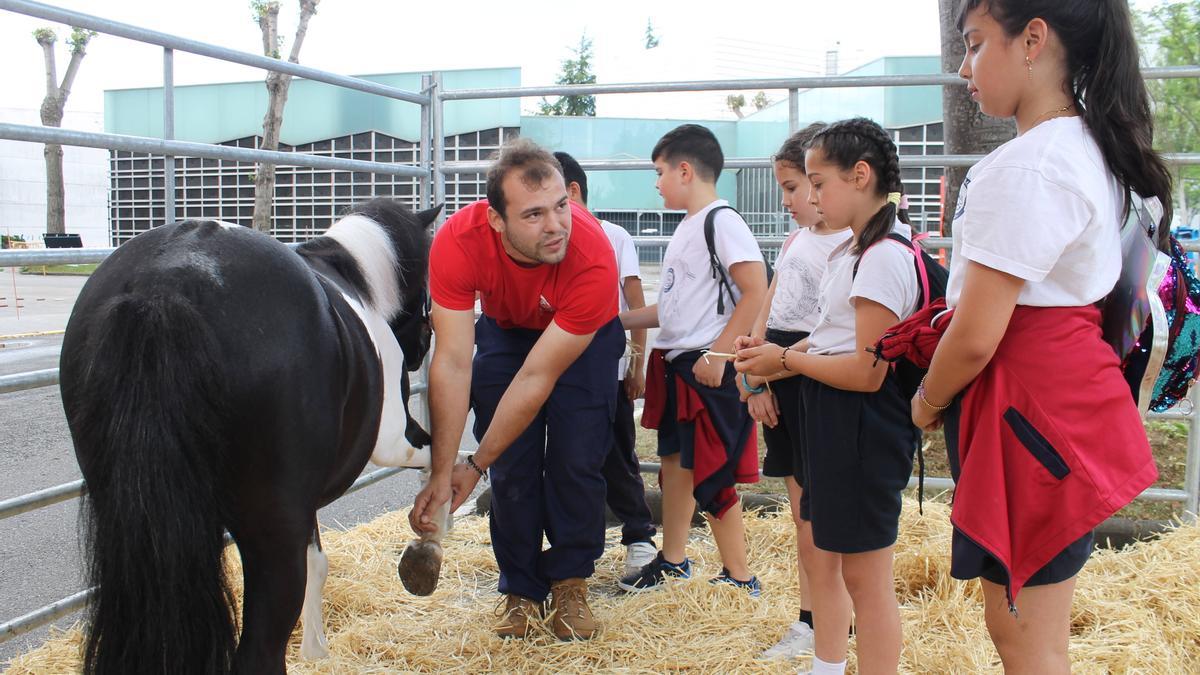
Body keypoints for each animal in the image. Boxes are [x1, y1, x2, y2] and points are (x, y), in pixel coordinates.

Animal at [60, 199, 446, 672]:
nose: (423, 344)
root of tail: (168, 282)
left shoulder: (304, 502)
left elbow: (318, 561)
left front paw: (316, 648)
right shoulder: (394, 440)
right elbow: (442, 459)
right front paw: (428, 547)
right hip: (271, 535)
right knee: (259, 652)